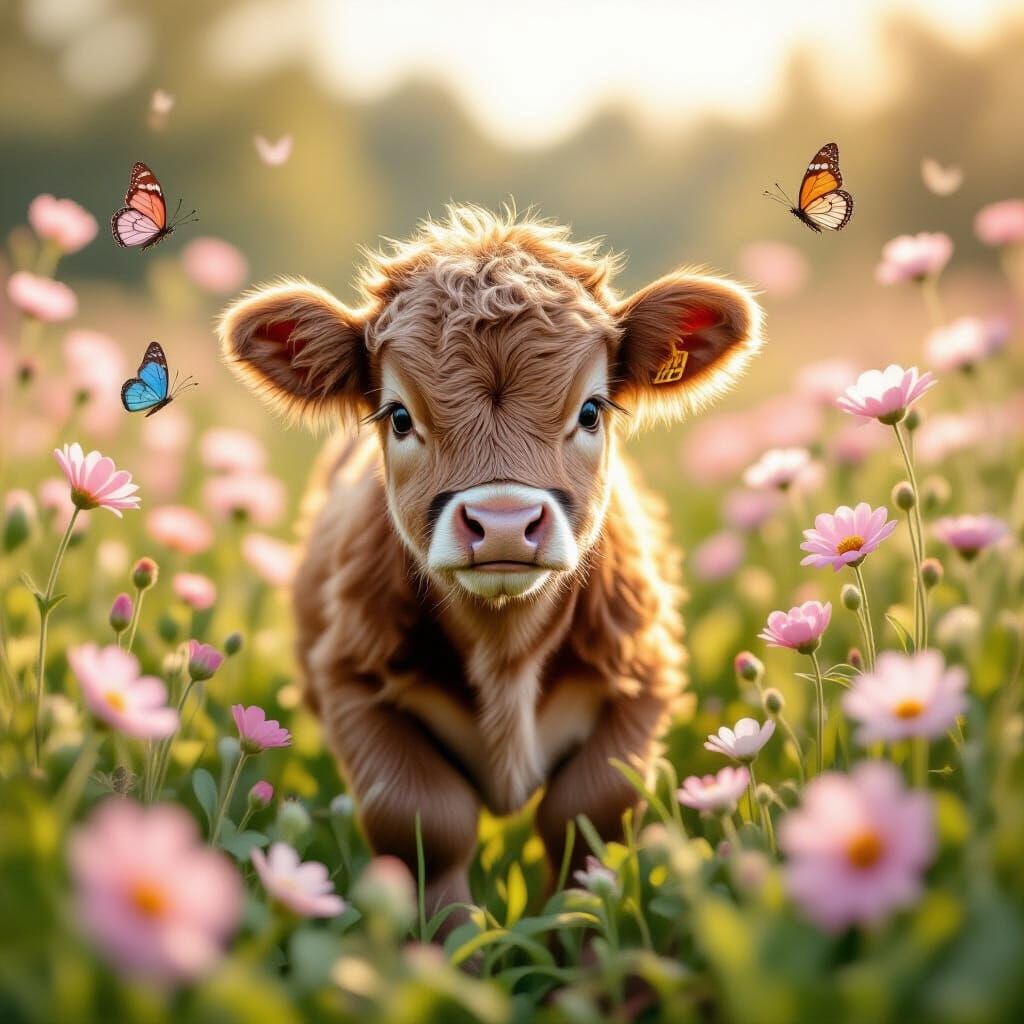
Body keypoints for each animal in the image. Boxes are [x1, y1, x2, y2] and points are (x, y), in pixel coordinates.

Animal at [219, 205, 763, 924]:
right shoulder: (351, 685)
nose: (503, 522)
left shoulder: (642, 678)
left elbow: (589, 812)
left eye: (591, 410)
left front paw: (577, 934)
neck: (504, 649)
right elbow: (423, 820)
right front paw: (452, 941)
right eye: (399, 417)